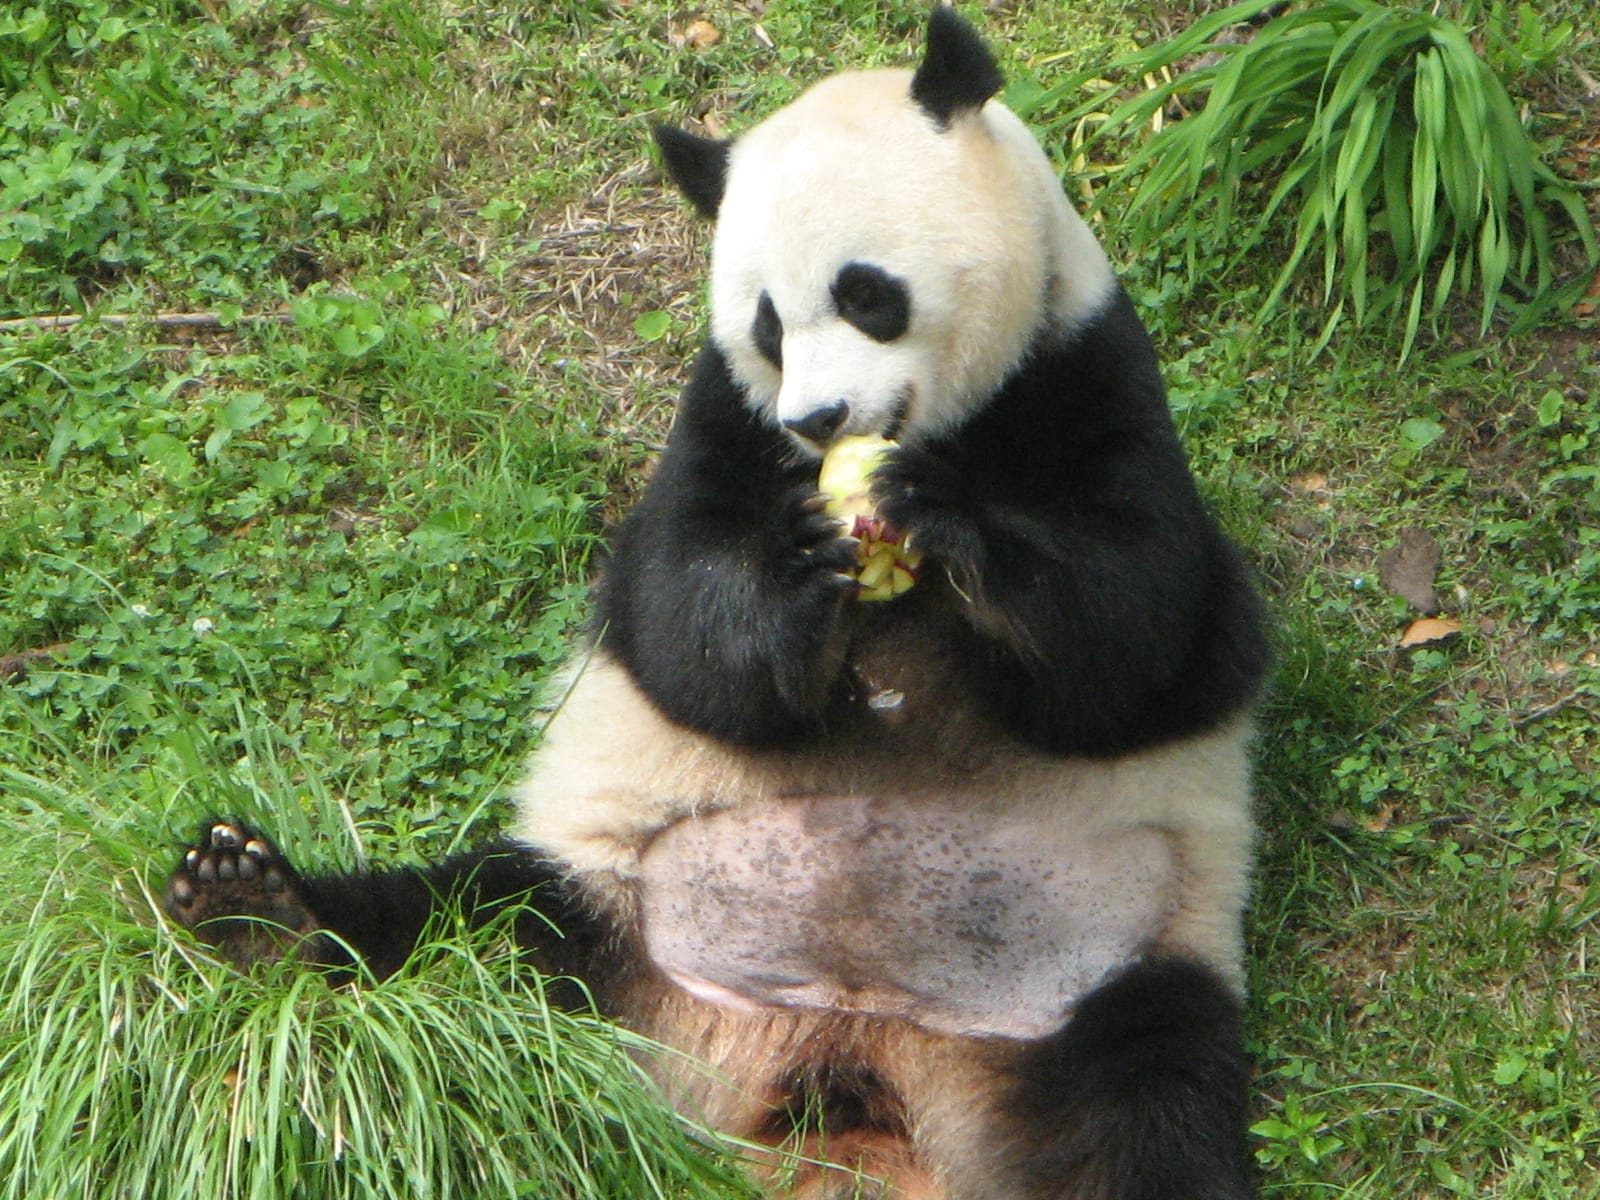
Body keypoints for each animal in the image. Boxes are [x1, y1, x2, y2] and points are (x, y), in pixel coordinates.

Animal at [164, 8, 1270, 1200]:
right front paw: (803, 577)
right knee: (456, 933)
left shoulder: (1085, 367)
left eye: (865, 292)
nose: (821, 419)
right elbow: (680, 620)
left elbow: (1138, 628)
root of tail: (843, 1070)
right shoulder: (727, 417)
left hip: (1096, 974)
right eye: (769, 326)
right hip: (609, 911)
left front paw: (940, 518)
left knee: (1144, 1099)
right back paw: (254, 910)